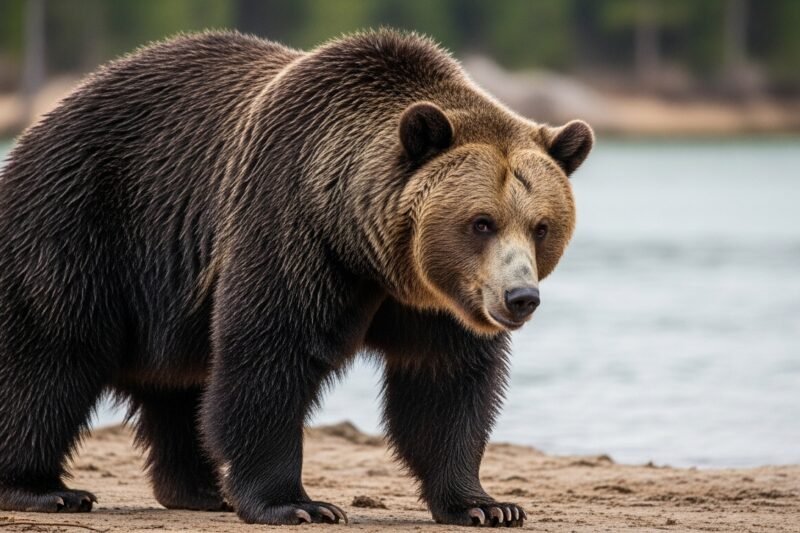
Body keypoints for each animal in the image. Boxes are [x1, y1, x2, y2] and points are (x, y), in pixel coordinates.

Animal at [0, 30, 593, 526]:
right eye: (481, 221)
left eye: (541, 226)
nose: (520, 297)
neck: (371, 254)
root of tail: (41, 123)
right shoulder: (291, 227)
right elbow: (269, 355)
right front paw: (298, 503)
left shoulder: (435, 304)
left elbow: (446, 385)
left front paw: (485, 504)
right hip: (82, 223)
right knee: (50, 355)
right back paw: (44, 488)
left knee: (178, 387)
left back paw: (200, 490)